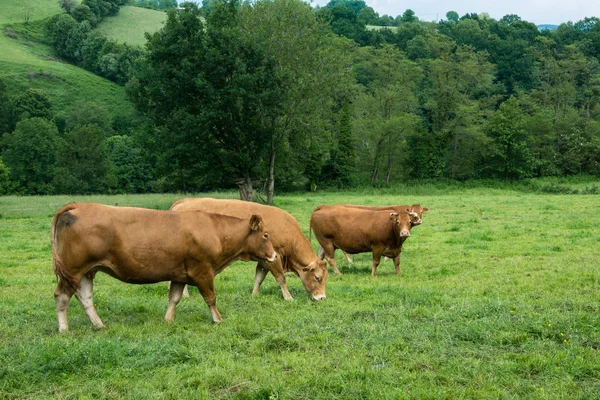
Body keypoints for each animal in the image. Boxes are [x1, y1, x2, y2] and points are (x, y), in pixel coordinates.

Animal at [51, 203, 276, 332]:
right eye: (266, 235)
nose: (274, 255)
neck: (215, 231)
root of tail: (79, 205)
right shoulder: (202, 270)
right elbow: (210, 297)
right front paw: (218, 319)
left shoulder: (179, 274)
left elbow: (174, 298)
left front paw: (168, 320)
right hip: (73, 270)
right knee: (62, 296)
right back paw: (64, 329)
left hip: (86, 271)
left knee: (85, 297)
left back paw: (99, 325)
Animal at [169, 198, 328, 302]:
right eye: (317, 277)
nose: (322, 297)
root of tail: (183, 202)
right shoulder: (274, 258)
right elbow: (281, 278)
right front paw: (288, 297)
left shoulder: (264, 259)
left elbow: (259, 277)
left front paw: (254, 294)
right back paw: (185, 295)